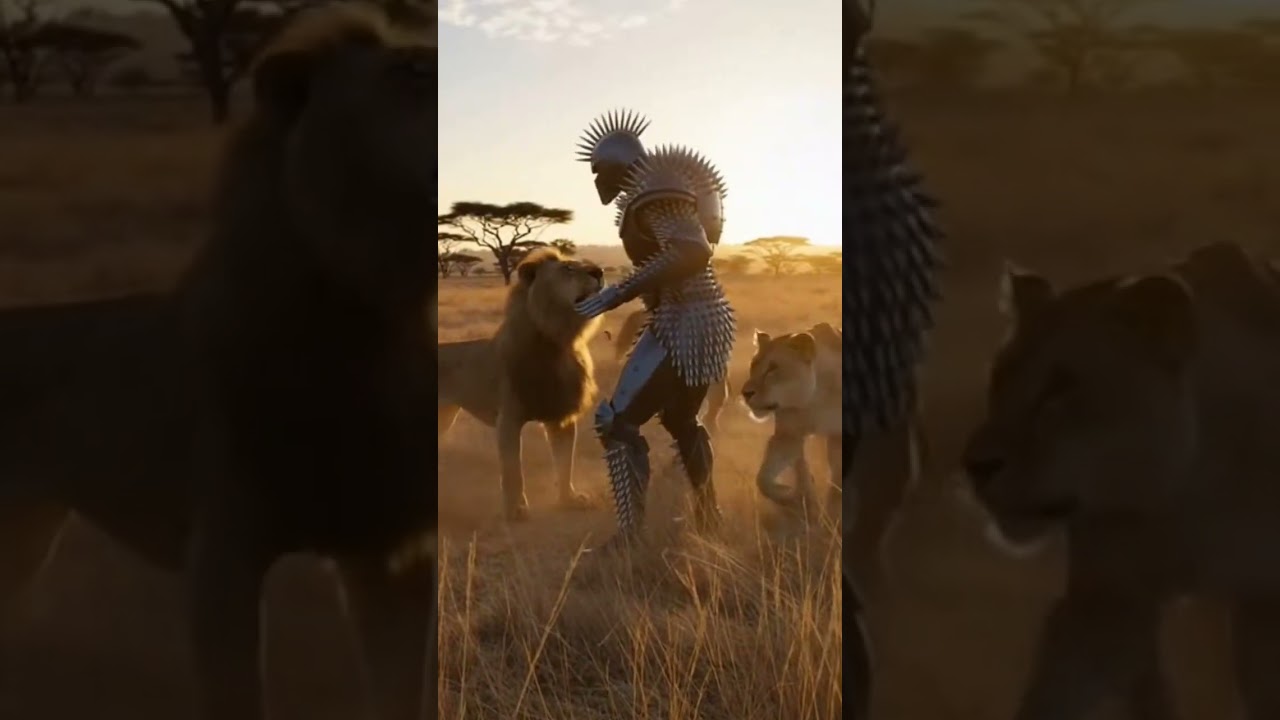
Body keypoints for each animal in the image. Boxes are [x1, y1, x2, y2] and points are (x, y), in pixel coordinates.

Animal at [0, 6, 437, 719]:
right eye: (408, 74)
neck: (365, 309)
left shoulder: (389, 547)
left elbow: (403, 690)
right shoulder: (222, 554)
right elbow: (237, 693)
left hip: (22, 536)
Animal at [438, 248, 604, 521]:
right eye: (568, 268)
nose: (599, 272)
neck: (559, 339)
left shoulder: (561, 416)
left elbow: (564, 463)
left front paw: (569, 499)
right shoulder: (508, 419)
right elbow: (513, 469)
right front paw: (516, 509)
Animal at [741, 323, 923, 592]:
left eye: (773, 368)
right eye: (754, 364)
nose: (746, 393)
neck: (815, 397)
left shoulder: (841, 437)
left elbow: (837, 487)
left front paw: (832, 520)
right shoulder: (788, 435)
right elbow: (763, 479)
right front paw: (790, 497)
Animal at [961, 241, 1280, 720]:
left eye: (1059, 389)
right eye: (998, 379)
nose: (975, 465)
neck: (1187, 490)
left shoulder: (1265, 603)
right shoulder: (1107, 599)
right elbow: (1057, 689)